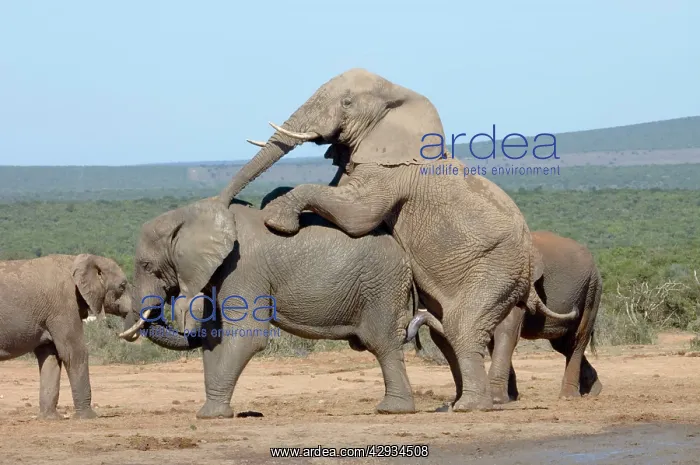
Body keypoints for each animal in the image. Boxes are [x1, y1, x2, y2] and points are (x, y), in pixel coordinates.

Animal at [0, 254, 132, 419]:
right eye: (122, 286)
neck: (77, 259)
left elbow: (50, 356)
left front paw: (50, 419)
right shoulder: (64, 305)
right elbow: (74, 352)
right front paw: (88, 417)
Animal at [117, 196, 444, 418]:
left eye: (146, 266)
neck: (193, 214)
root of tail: (405, 253)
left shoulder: (242, 270)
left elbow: (245, 338)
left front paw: (209, 416)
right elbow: (213, 339)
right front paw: (212, 413)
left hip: (381, 285)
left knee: (382, 343)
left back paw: (392, 410)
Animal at [217, 67, 576, 412]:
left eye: (347, 102)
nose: (225, 203)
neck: (397, 95)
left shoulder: (391, 173)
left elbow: (356, 214)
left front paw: (276, 217)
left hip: (498, 268)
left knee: (462, 326)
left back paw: (470, 407)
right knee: (445, 332)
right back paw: (452, 404)